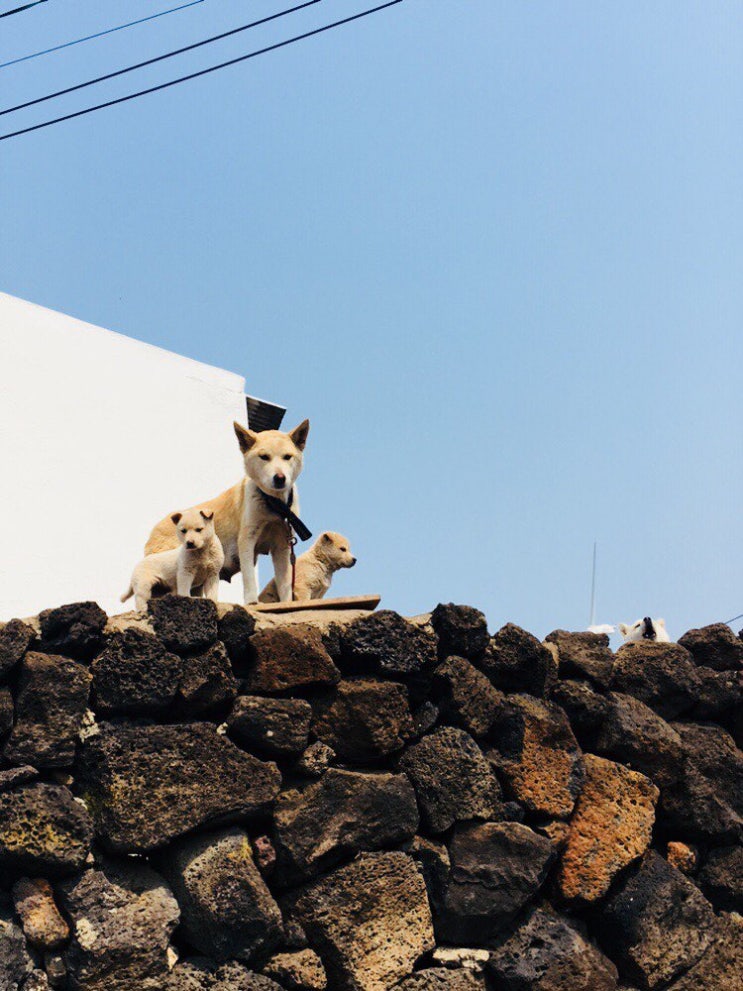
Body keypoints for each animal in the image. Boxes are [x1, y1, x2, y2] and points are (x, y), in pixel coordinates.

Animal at [145, 418, 308, 604]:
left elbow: (285, 584)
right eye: (264, 457)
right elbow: (249, 579)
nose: (280, 478)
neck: (274, 504)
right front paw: (252, 602)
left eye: (287, 457)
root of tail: (153, 532)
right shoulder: (246, 540)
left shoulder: (282, 546)